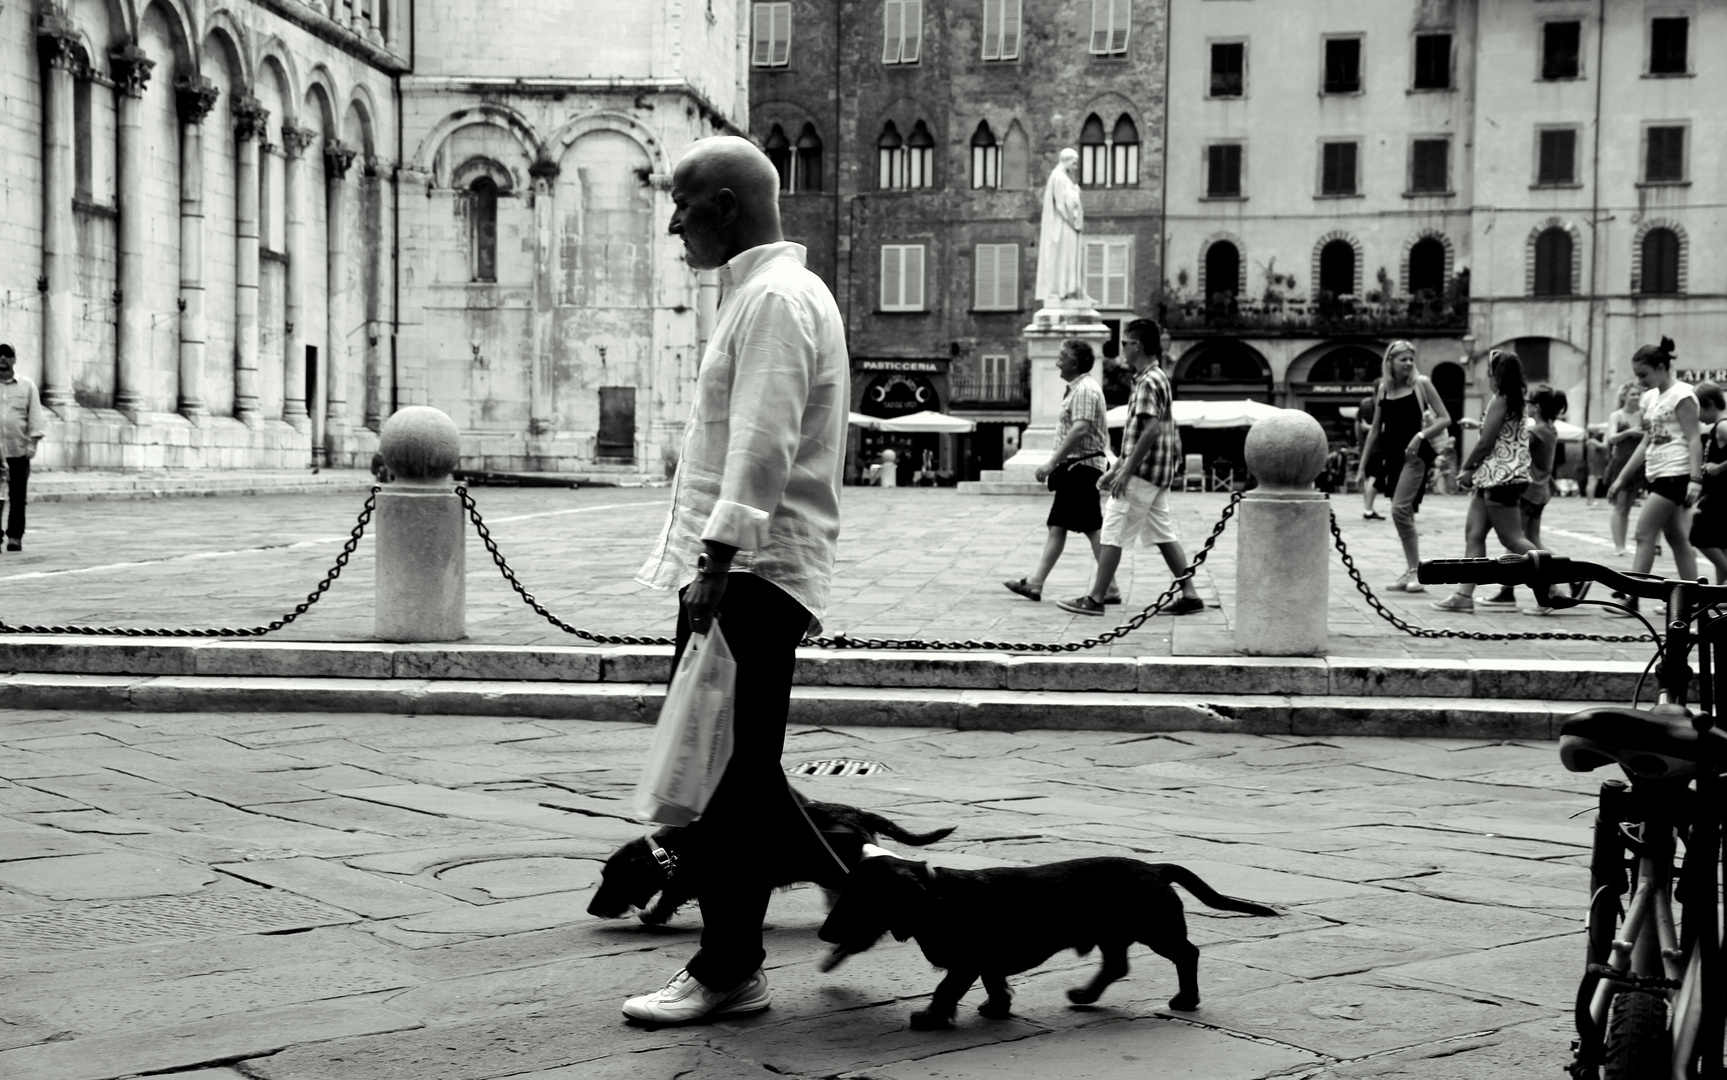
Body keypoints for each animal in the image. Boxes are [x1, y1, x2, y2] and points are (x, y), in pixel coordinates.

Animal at [587, 794, 953, 919]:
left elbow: (667, 900)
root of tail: (859, 813)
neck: (669, 851)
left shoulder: (688, 882)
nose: (591, 909)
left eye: (616, 880)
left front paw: (650, 917)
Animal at [815, 850, 1277, 1029]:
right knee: (1116, 965)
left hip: (1156, 930)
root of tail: (1155, 868)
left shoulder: (966, 962)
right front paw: (996, 1008)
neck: (936, 896)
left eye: (858, 900)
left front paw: (930, 1019)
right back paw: (1085, 996)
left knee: (1187, 954)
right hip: (1112, 934)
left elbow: (945, 990)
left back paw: (1186, 999)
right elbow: (994, 983)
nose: (823, 933)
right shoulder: (986, 962)